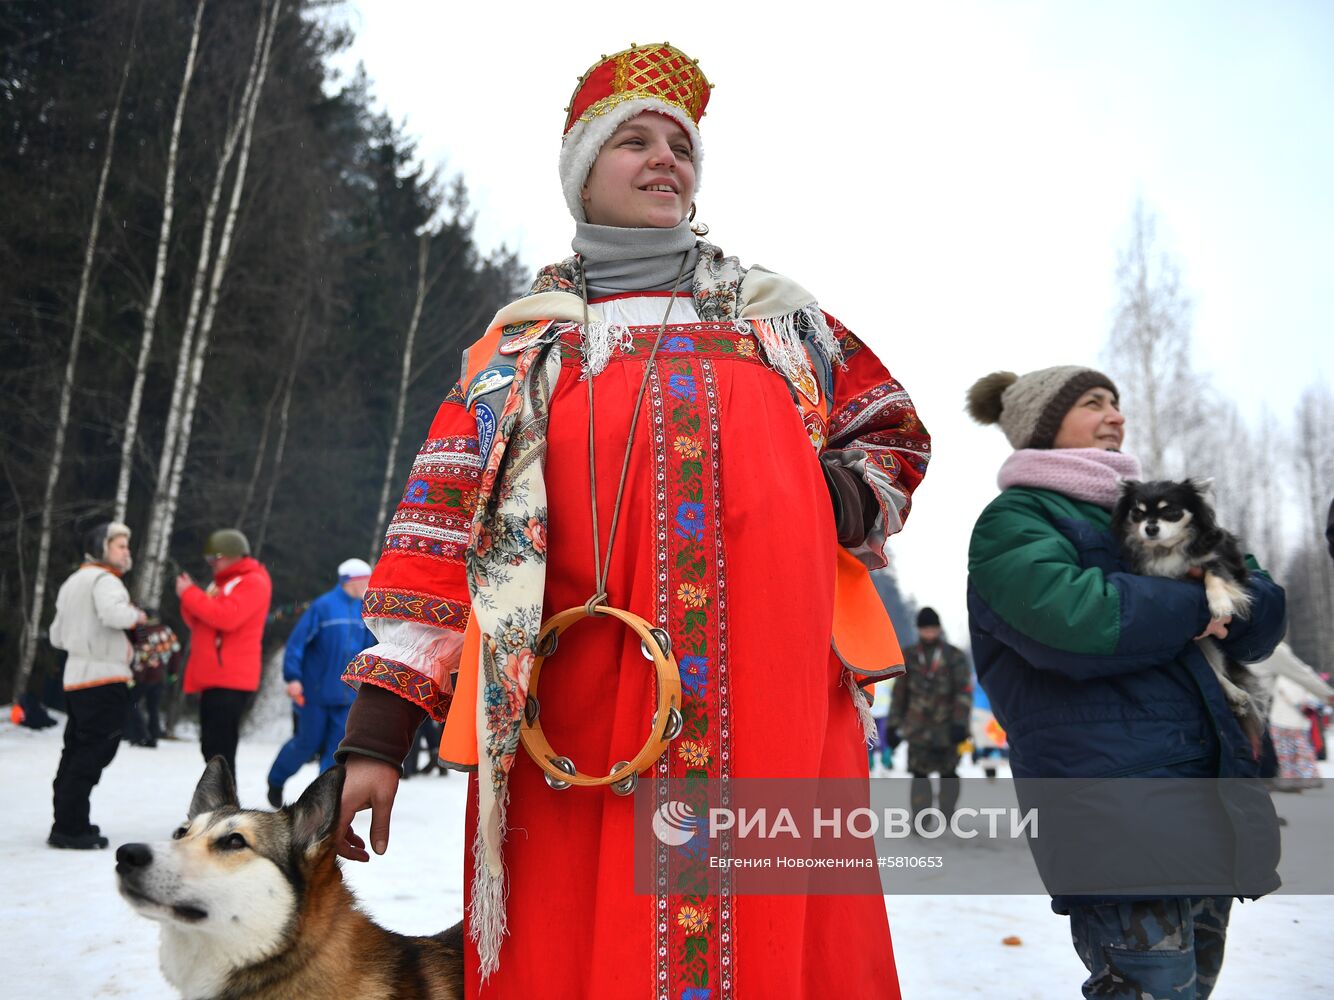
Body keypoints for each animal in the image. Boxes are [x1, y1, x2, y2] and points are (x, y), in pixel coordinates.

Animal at [1109, 482, 1264, 757]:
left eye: (1170, 511)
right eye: (1137, 513)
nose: (1150, 528)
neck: (1168, 547)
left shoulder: (1219, 560)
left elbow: (1214, 574)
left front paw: (1220, 602)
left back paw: (1237, 695)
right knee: (1213, 672)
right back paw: (1235, 696)